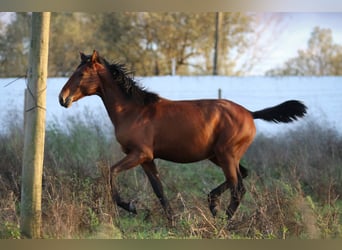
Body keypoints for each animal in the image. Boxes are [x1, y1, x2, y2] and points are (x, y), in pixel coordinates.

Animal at [58, 50, 308, 225]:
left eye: (81, 73)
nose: (63, 99)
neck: (133, 111)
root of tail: (250, 113)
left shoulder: (139, 154)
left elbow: (111, 172)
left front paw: (130, 206)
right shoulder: (147, 159)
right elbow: (159, 190)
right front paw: (172, 221)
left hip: (226, 156)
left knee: (238, 188)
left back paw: (224, 221)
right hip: (219, 156)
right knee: (242, 177)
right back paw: (213, 204)